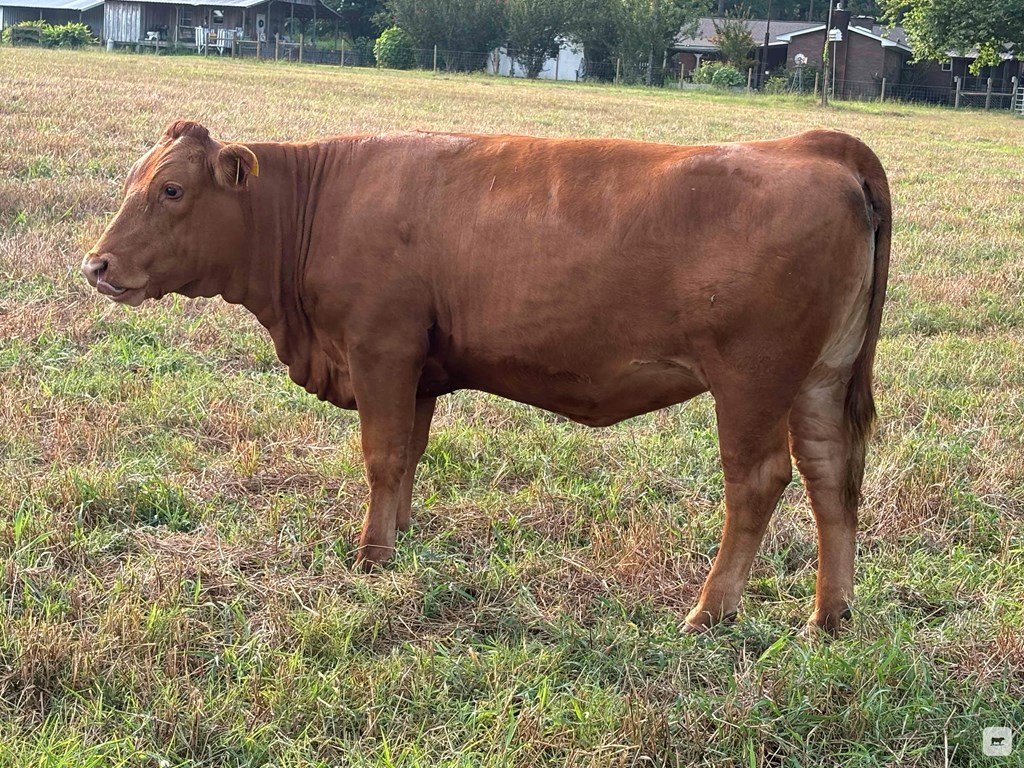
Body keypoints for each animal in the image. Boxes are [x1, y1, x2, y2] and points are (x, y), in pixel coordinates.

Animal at [83, 123, 888, 634]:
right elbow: (409, 455)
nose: (96, 264)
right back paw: (830, 615)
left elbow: (381, 455)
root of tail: (813, 146)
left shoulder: (381, 348)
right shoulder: (419, 371)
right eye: (133, 181)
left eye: (172, 191)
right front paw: (401, 536)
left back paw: (710, 610)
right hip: (819, 378)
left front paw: (371, 557)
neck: (321, 201)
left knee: (757, 480)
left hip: (753, 382)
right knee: (831, 476)